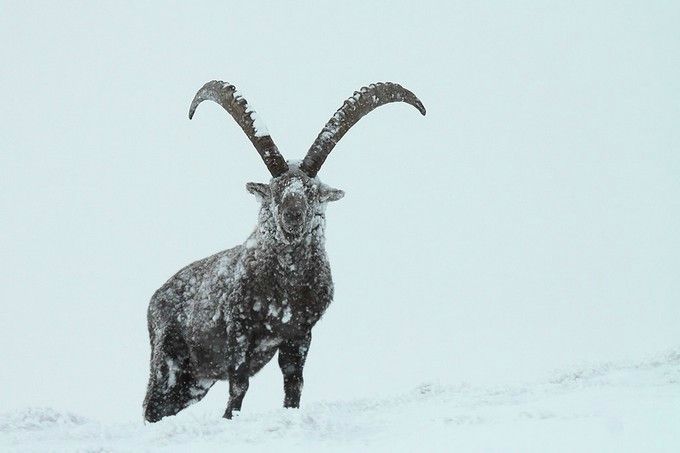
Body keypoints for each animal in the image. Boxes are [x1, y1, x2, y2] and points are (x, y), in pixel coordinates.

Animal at [143, 78, 424, 420]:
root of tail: (155, 298)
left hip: (195, 380)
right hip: (168, 360)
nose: (293, 215)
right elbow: (239, 385)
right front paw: (230, 419)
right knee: (152, 406)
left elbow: (294, 384)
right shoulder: (238, 327)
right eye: (276, 190)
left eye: (312, 191)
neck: (284, 289)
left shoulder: (299, 334)